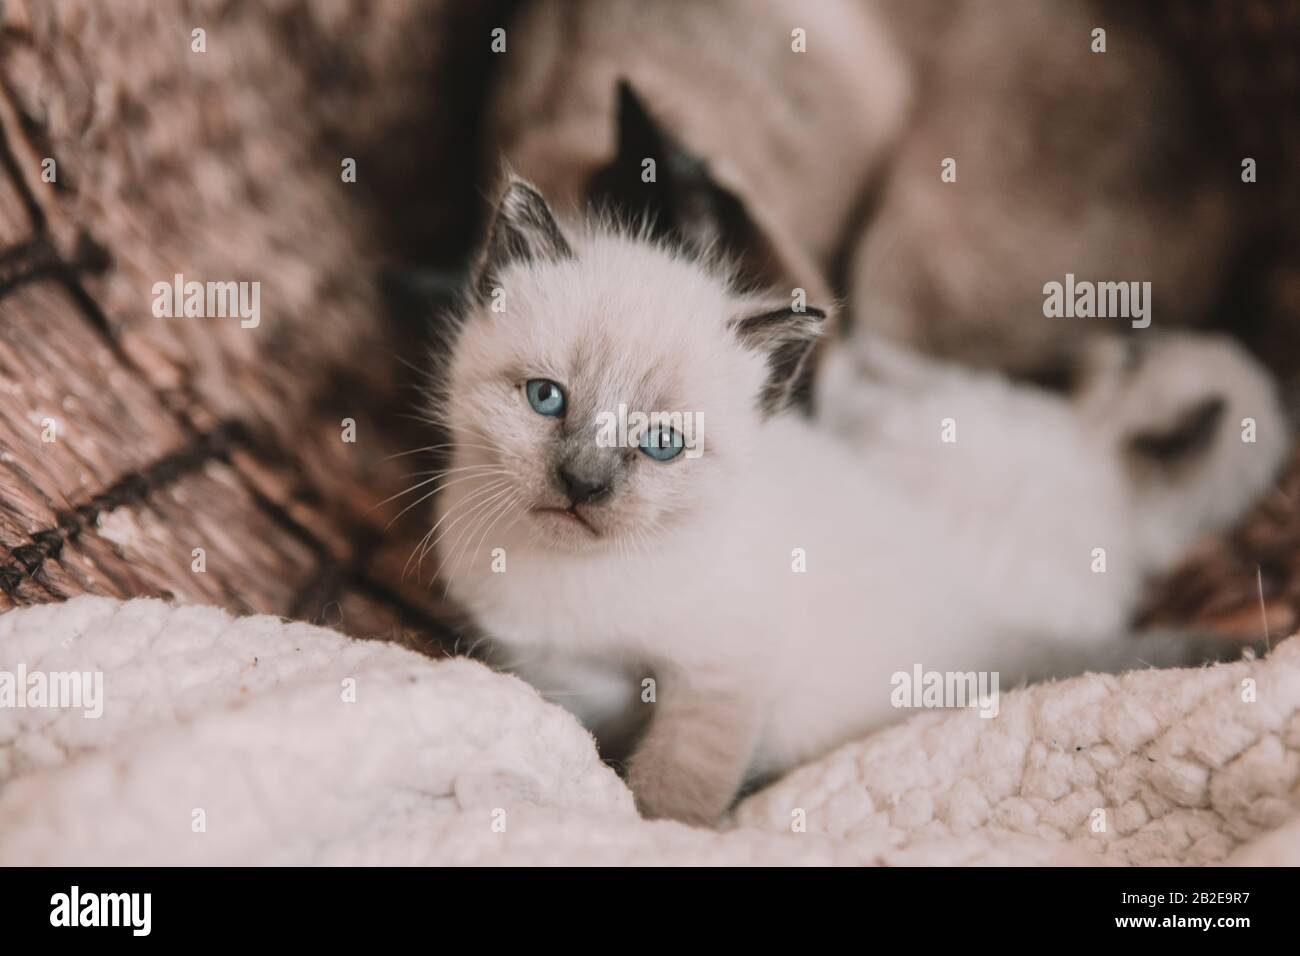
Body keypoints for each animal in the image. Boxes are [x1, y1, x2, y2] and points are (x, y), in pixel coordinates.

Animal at [428, 178, 1289, 822]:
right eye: (546, 398)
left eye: (664, 443)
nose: (584, 486)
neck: (572, 583)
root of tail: (973, 613)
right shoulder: (546, 669)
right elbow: (576, 735)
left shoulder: (721, 675)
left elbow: (674, 789)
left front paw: (656, 830)